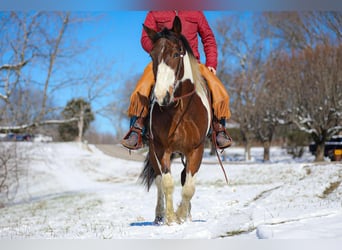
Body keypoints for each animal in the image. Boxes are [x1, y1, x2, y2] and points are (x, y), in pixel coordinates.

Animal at [139, 16, 211, 226]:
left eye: (176, 53)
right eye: (152, 56)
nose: (161, 96)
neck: (179, 110)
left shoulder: (196, 150)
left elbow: (188, 186)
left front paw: (182, 215)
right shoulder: (161, 148)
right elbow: (167, 183)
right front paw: (171, 217)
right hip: (154, 152)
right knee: (158, 181)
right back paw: (159, 215)